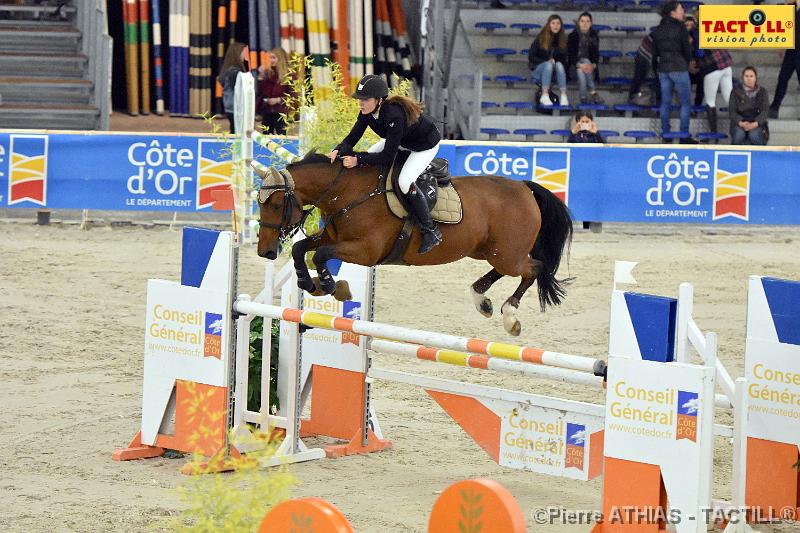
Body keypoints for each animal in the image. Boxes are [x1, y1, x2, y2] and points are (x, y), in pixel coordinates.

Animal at [253, 153, 572, 336]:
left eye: (278, 204)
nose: (265, 252)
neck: (347, 193)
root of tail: (524, 187)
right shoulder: (333, 237)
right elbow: (301, 249)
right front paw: (311, 283)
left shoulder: (366, 251)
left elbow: (320, 255)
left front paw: (332, 286)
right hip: (485, 251)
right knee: (510, 271)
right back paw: (481, 298)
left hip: (506, 254)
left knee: (534, 269)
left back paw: (509, 316)